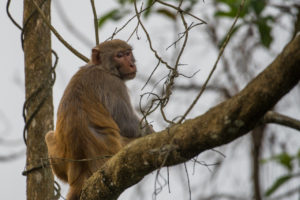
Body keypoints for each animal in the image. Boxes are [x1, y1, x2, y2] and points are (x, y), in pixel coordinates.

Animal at [45, 39, 154, 200]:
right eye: (119, 55)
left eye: (128, 53)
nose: (131, 64)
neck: (101, 67)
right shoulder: (114, 83)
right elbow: (128, 125)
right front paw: (150, 131)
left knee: (49, 135)